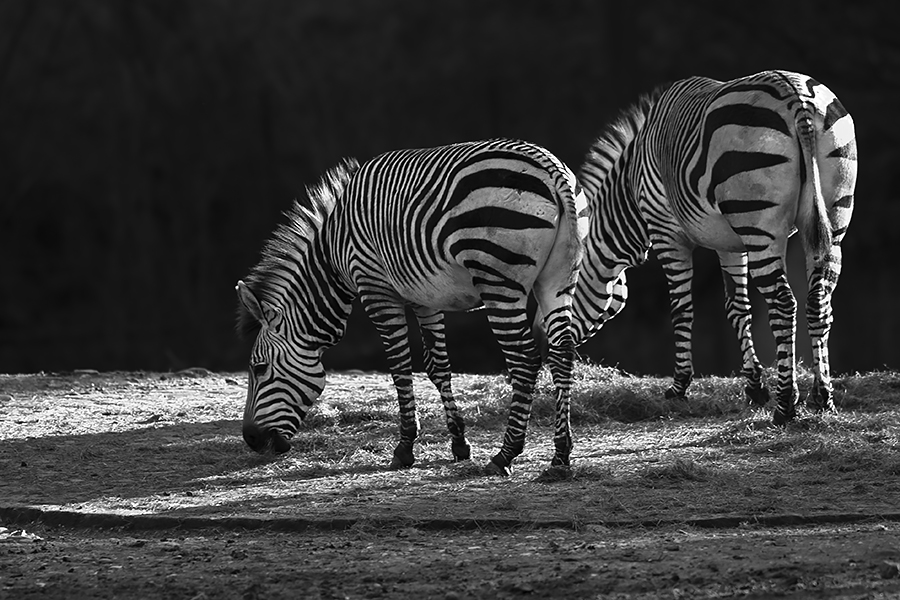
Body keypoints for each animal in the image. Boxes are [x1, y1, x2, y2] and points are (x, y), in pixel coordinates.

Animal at [236, 139, 589, 476]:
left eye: (259, 368)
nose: (250, 439)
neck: (333, 253)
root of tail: (552, 170)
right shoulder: (425, 298)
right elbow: (438, 367)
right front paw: (459, 443)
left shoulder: (375, 288)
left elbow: (400, 368)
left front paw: (405, 448)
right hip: (558, 279)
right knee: (562, 351)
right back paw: (561, 454)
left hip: (498, 279)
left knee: (525, 359)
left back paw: (506, 454)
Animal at [571, 70, 856, 424]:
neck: (631, 188)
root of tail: (794, 94)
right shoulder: (732, 245)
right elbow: (738, 309)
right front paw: (754, 387)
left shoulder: (667, 234)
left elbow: (682, 309)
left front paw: (679, 387)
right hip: (831, 220)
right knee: (818, 300)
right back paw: (822, 398)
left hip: (761, 226)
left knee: (782, 302)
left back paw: (785, 407)